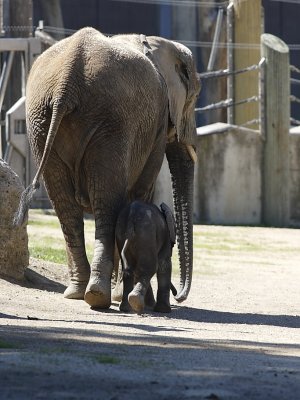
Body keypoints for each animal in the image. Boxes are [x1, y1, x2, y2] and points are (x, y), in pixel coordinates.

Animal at [14, 27, 202, 310]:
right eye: (194, 97)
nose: (180, 295)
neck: (155, 44)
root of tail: (67, 81)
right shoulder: (157, 123)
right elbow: (140, 191)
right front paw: (130, 298)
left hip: (42, 121)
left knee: (66, 204)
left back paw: (79, 292)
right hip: (113, 122)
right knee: (107, 201)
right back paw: (99, 296)